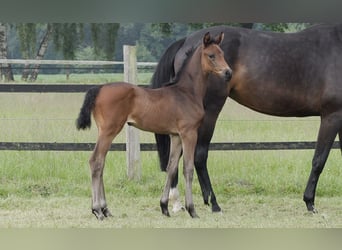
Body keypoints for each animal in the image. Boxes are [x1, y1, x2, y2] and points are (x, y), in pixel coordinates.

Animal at [77, 32, 232, 220]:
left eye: (222, 53)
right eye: (211, 55)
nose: (228, 72)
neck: (186, 92)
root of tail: (99, 88)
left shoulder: (175, 135)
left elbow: (171, 167)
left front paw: (164, 207)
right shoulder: (189, 133)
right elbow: (187, 168)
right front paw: (192, 210)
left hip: (103, 131)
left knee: (101, 162)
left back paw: (105, 209)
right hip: (109, 130)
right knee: (96, 162)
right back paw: (97, 210)